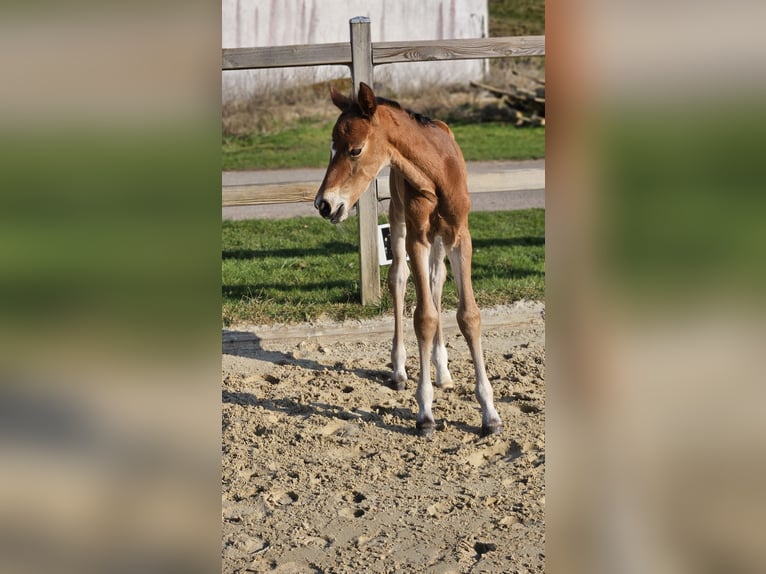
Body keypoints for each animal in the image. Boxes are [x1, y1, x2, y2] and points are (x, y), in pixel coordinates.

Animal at [313, 82, 502, 437]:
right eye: (331, 148)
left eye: (355, 150)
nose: (324, 205)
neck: (436, 170)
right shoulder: (417, 236)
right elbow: (424, 317)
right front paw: (425, 413)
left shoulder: (460, 236)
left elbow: (468, 316)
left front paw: (490, 413)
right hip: (398, 221)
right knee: (399, 279)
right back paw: (400, 370)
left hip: (439, 240)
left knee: (437, 279)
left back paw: (443, 371)